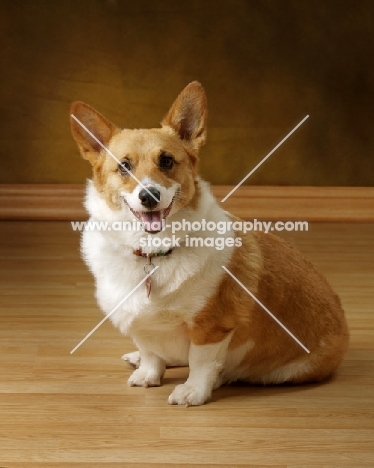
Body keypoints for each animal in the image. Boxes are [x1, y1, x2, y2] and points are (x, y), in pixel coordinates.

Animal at [71, 82, 350, 404]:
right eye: (124, 166)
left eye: (166, 161)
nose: (149, 196)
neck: (154, 253)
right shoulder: (141, 323)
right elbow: (150, 351)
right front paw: (148, 372)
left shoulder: (211, 327)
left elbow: (201, 361)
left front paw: (194, 391)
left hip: (282, 371)